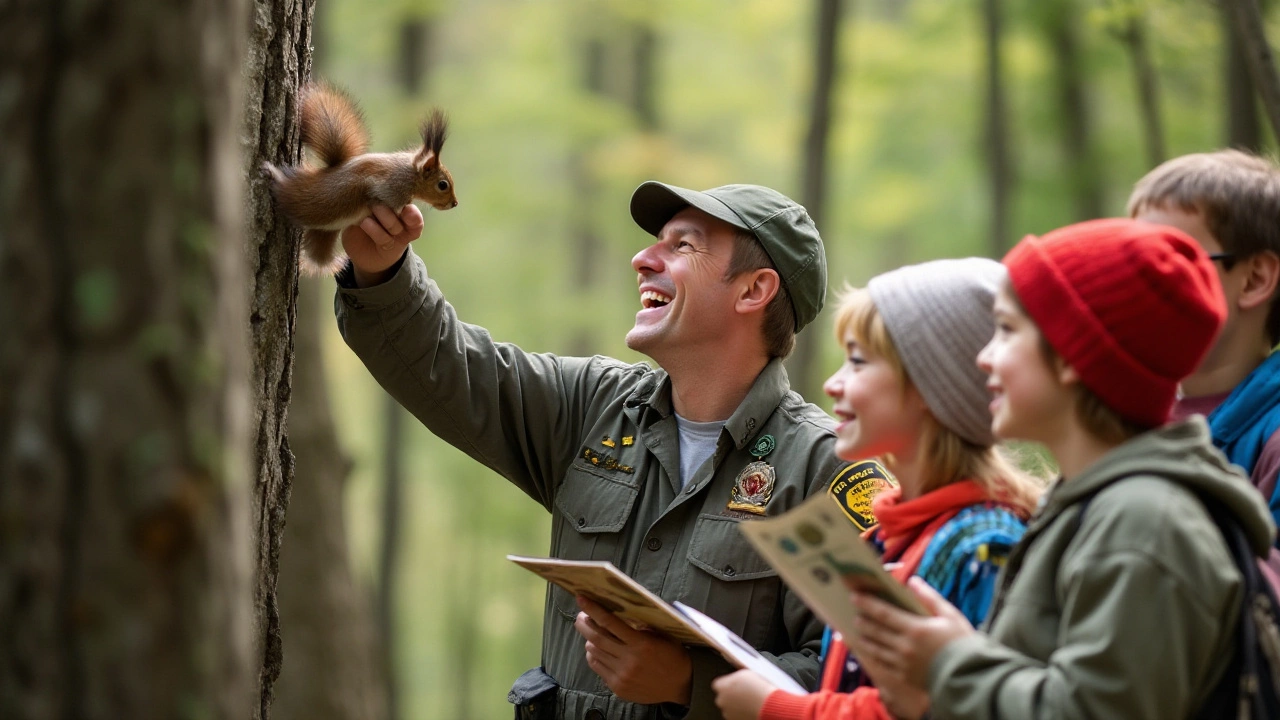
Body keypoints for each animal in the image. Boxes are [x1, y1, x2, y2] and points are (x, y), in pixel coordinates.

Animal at [262, 83, 458, 274]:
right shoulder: (390, 187)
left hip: (325, 225)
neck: (410, 175)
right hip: (325, 201)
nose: (454, 203)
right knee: (291, 196)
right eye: (442, 185)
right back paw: (274, 174)